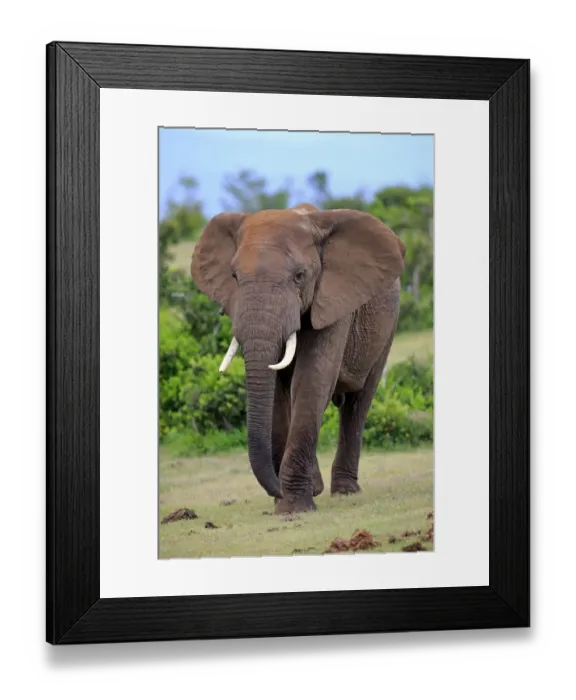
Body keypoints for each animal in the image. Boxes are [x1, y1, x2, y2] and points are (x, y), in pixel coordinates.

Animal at [190, 202, 406, 514]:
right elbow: (278, 393)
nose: (276, 489)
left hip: (387, 327)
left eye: (300, 276)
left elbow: (312, 378)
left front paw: (293, 508)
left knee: (357, 402)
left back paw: (345, 491)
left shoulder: (333, 299)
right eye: (234, 277)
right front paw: (290, 500)